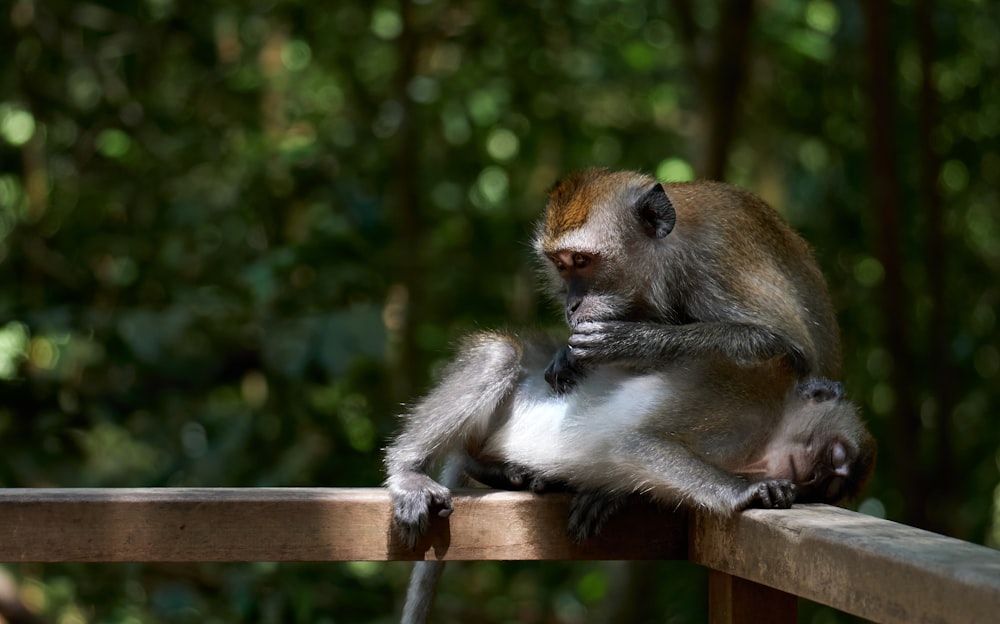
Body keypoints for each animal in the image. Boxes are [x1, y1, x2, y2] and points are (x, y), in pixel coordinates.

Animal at [536, 167, 840, 390]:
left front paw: (633, 342)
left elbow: (789, 349)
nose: (571, 306)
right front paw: (565, 356)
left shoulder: (716, 262)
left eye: (580, 260)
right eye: (561, 265)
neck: (674, 252)